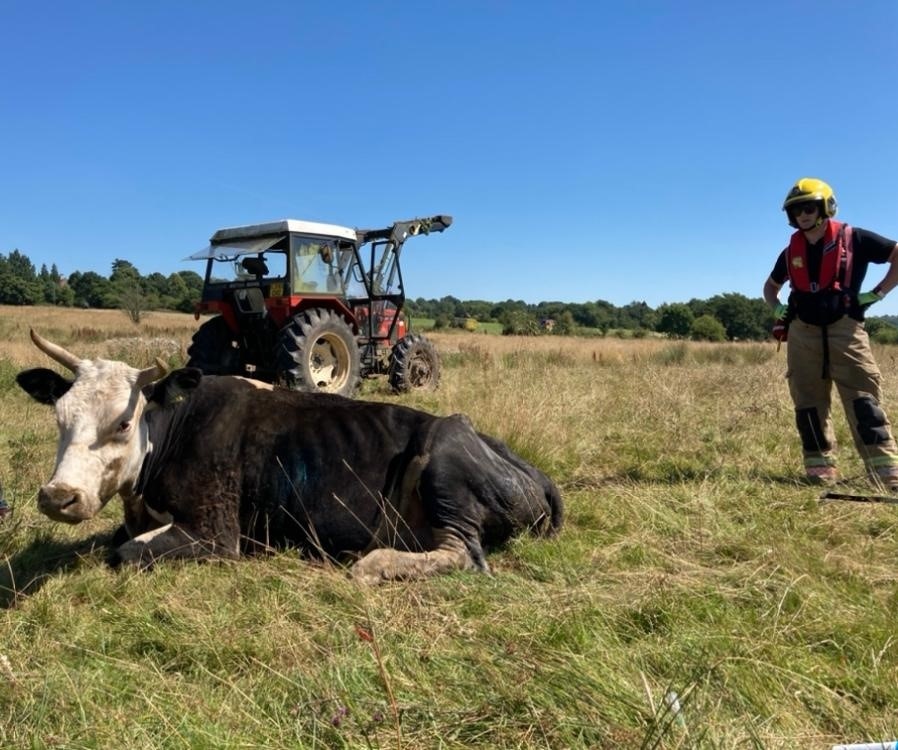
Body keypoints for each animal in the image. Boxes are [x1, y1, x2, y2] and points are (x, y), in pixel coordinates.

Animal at [16, 330, 562, 583]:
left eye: (123, 423)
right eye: (59, 415)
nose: (58, 496)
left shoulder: (218, 535)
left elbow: (125, 552)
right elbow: (114, 541)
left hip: (443, 462)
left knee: (465, 555)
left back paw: (374, 562)